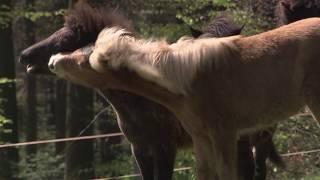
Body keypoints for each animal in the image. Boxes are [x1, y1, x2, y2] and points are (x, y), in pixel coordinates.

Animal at [18, 0, 282, 179]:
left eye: (64, 41)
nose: (24, 55)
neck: (140, 97)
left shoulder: (164, 147)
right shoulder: (141, 149)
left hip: (254, 137)